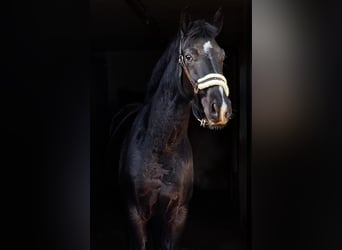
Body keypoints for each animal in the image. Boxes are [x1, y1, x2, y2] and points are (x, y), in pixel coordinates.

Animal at [117, 8, 232, 250]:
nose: (221, 109)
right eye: (188, 56)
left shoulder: (177, 215)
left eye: (222, 56)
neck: (161, 146)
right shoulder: (135, 215)